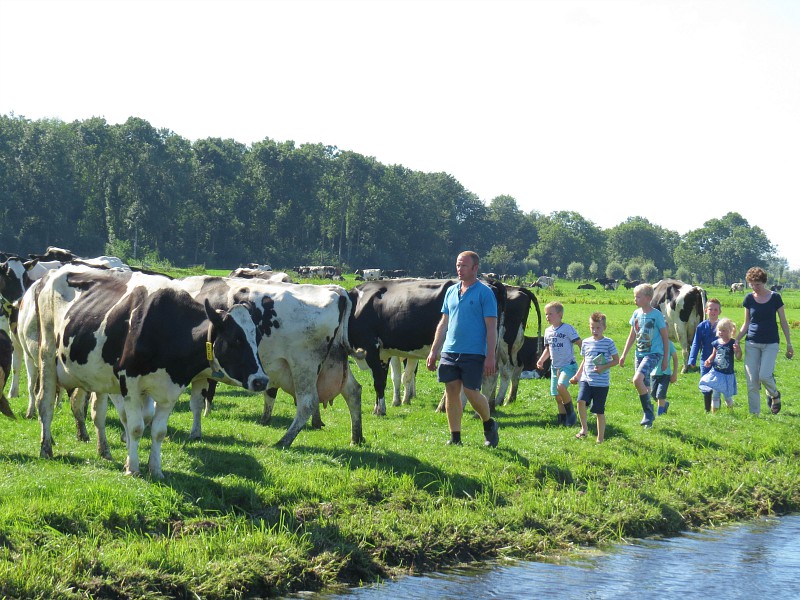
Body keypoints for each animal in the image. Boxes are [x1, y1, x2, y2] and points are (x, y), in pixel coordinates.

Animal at [346, 278, 506, 414]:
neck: (357, 305)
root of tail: (489, 282)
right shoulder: (385, 353)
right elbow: (393, 377)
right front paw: (389, 403)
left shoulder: (371, 347)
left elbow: (380, 381)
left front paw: (380, 410)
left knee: (483, 378)